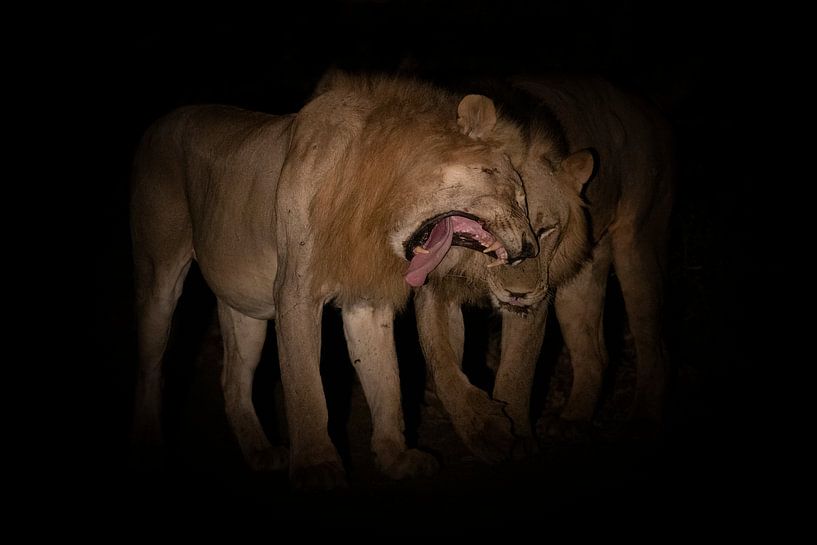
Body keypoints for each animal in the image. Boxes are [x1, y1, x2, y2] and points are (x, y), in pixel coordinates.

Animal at [129, 72, 538, 489]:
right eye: (508, 189)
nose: (530, 247)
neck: (379, 208)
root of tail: (159, 123)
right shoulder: (294, 292)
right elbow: (306, 388)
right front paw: (316, 465)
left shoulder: (366, 303)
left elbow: (386, 381)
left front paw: (395, 457)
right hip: (159, 279)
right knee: (149, 368)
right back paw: (150, 447)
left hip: (245, 306)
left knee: (233, 378)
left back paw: (261, 451)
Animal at [414, 75, 675, 461]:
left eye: (546, 229)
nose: (517, 292)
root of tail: (646, 106)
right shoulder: (435, 284)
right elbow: (443, 365)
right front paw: (482, 429)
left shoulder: (534, 299)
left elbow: (515, 372)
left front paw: (518, 439)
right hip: (580, 276)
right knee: (595, 353)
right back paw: (573, 421)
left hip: (638, 245)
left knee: (652, 344)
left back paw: (641, 423)